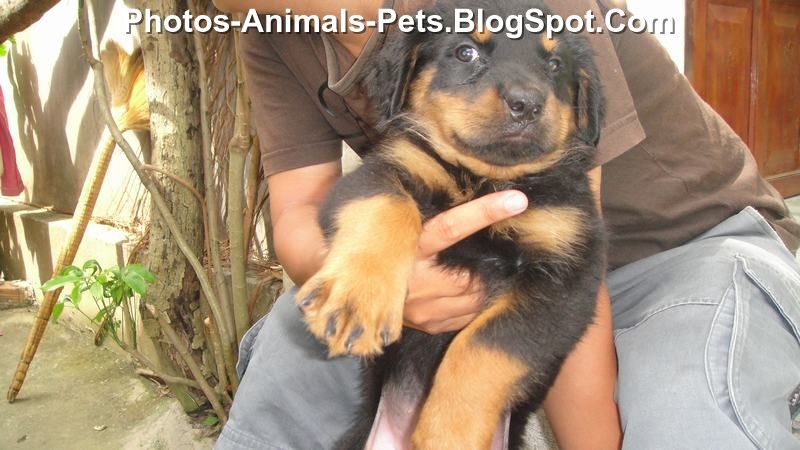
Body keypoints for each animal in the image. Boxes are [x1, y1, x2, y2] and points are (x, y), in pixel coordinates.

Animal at [300, 1, 608, 448]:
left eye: (554, 65)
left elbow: (485, 345)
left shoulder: (569, 274)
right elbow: (386, 207)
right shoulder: (377, 172)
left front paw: (449, 433)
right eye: (466, 52)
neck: (481, 179)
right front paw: (358, 298)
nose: (527, 103)